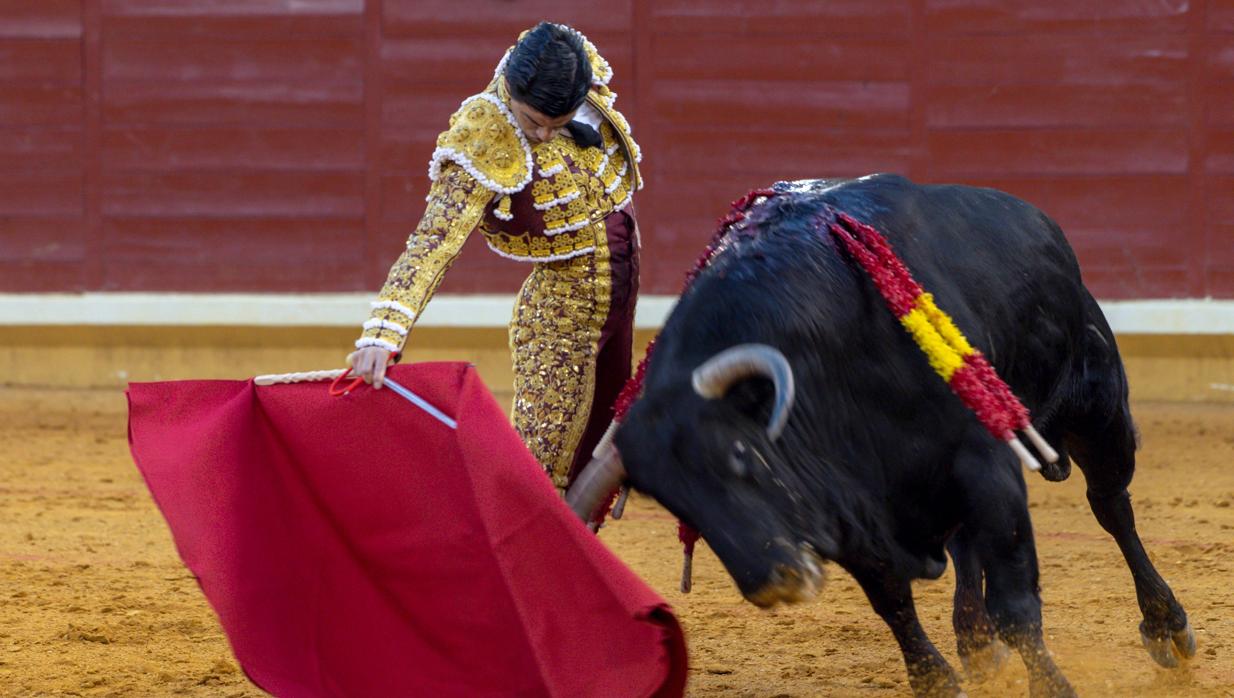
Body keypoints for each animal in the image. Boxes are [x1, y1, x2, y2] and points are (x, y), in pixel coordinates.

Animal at [565, 176, 1194, 698]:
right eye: (673, 504)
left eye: (741, 454)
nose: (771, 581)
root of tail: (1038, 221)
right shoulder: (847, 507)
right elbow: (891, 600)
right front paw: (937, 678)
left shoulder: (986, 466)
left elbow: (1017, 604)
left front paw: (1052, 686)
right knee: (968, 547)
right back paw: (975, 643)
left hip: (1098, 411)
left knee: (1111, 508)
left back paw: (1166, 626)